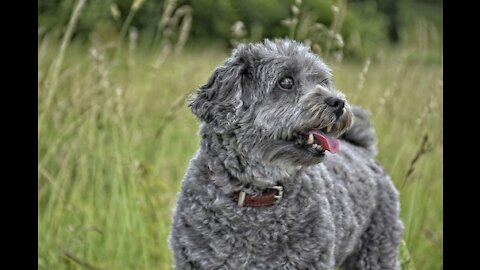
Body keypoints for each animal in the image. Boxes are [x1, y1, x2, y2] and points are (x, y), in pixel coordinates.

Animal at [168, 39, 402, 268]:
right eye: (286, 82)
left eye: (323, 81)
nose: (339, 103)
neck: (256, 196)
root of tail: (363, 151)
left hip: (378, 251)